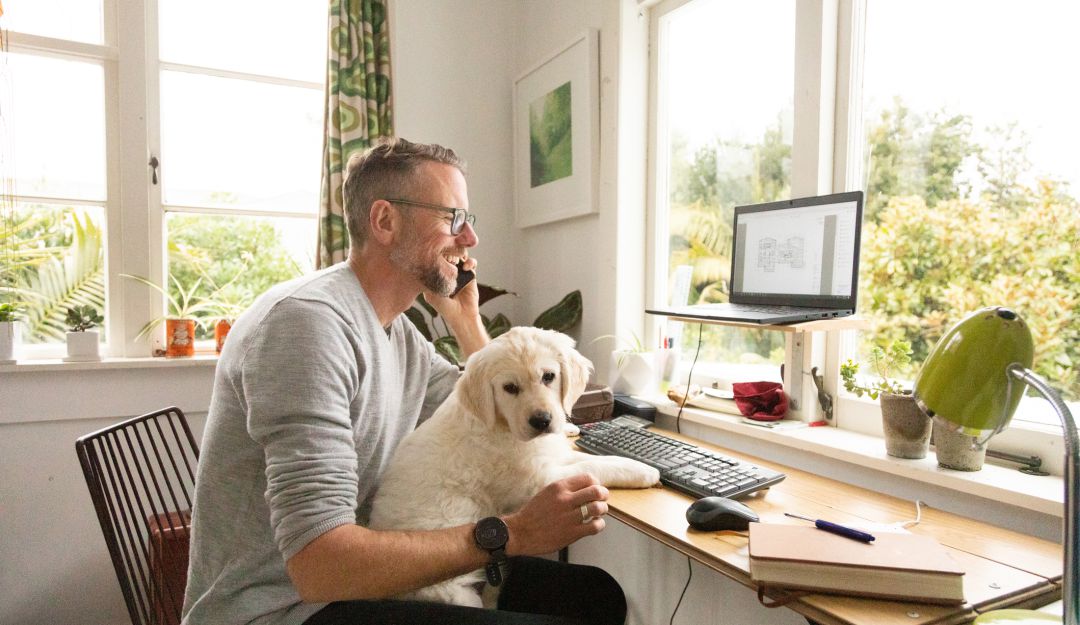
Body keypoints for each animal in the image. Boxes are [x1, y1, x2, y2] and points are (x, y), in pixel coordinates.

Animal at [369, 325, 656, 608]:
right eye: (510, 387)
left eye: (549, 376)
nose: (542, 421)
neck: (502, 424)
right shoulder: (537, 481)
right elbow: (591, 466)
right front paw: (643, 471)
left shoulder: (549, 456)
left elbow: (590, 458)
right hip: (451, 591)